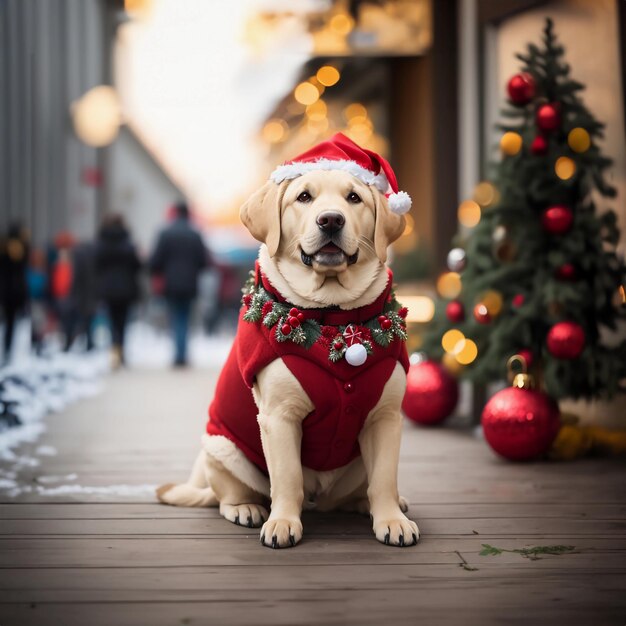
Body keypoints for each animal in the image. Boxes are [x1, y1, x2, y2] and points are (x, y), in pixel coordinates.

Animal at [157, 133, 420, 544]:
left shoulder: (386, 416)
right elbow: (287, 478)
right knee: (228, 494)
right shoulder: (279, 417)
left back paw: (368, 504)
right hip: (223, 448)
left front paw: (391, 520)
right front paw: (282, 522)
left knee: (354, 493)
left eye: (354, 198)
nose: (330, 220)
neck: (334, 321)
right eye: (304, 197)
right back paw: (247, 508)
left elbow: (384, 480)